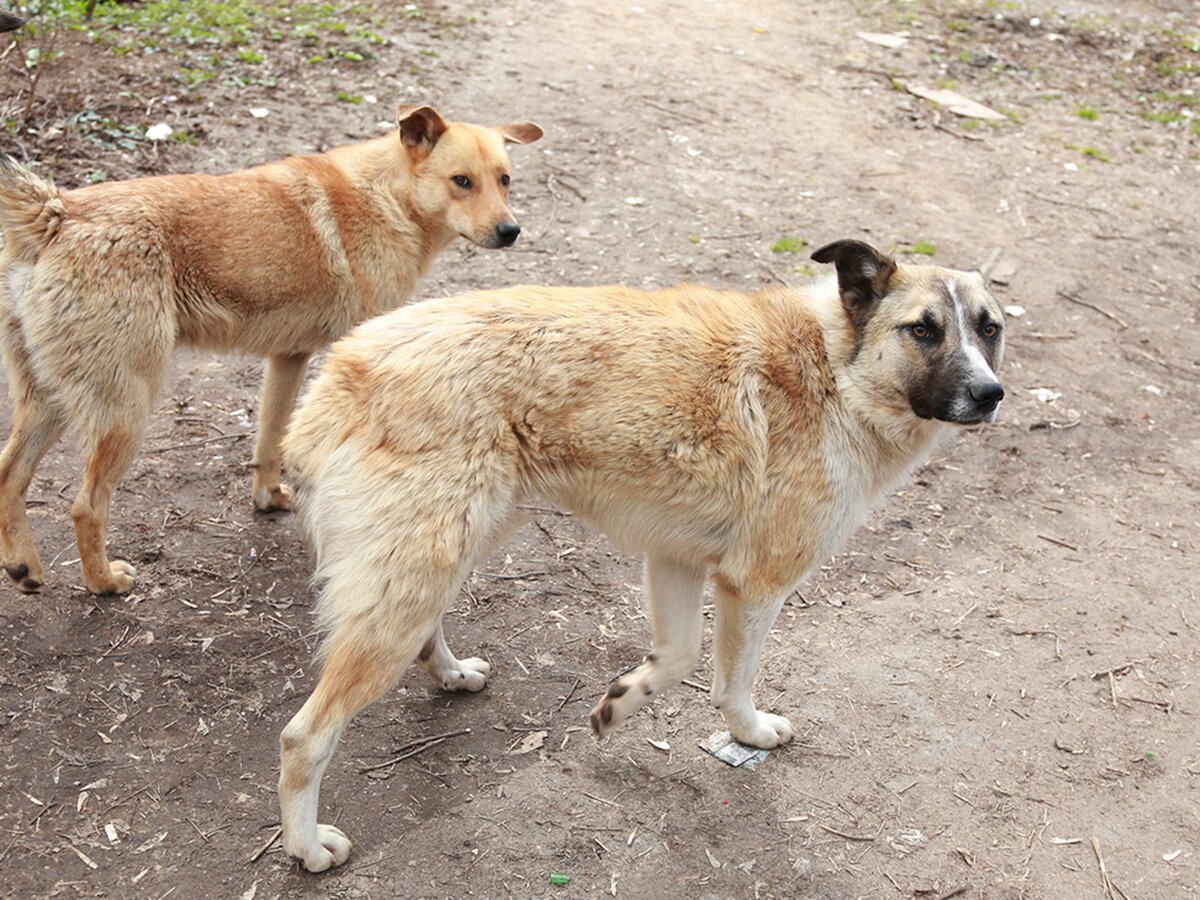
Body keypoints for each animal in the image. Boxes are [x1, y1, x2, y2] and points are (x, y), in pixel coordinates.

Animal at [0, 105, 544, 595]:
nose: (511, 231)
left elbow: (269, 441)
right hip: (125, 411)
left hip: (49, 402)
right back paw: (104, 582)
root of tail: (58, 212)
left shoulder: (288, 358)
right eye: (461, 181)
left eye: (505, 180)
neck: (387, 197)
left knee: (8, 476)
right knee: (85, 506)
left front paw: (268, 498)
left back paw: (24, 568)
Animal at [276, 237, 1008, 868]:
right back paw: (307, 846)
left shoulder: (675, 559)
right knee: (303, 737)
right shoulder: (756, 583)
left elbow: (677, 658)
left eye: (989, 329)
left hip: (448, 555)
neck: (835, 368)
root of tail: (339, 374)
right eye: (923, 330)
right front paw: (749, 733)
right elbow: (733, 682)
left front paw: (619, 702)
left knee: (425, 637)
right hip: (414, 581)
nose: (990, 394)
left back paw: (453, 674)